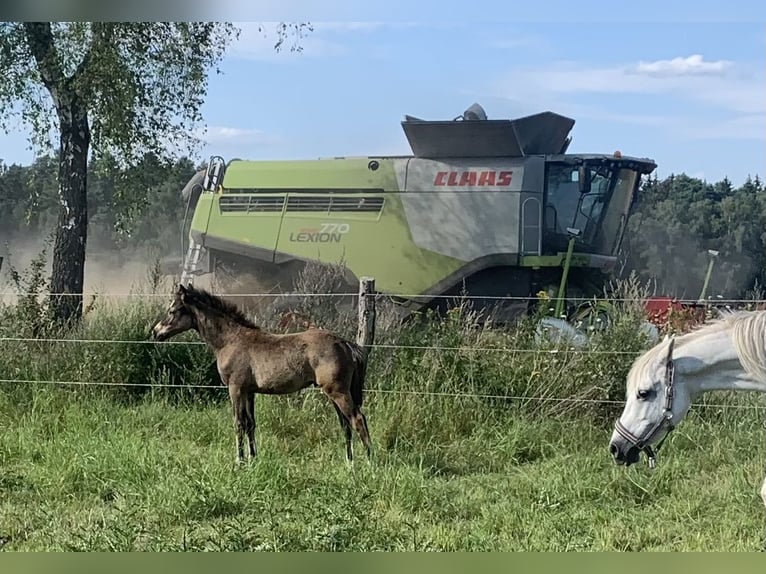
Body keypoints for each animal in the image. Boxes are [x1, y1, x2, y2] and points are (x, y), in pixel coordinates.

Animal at [150, 286, 372, 466]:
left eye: (172, 310)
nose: (155, 332)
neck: (230, 340)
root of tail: (345, 344)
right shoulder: (249, 391)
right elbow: (250, 424)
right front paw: (252, 458)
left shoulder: (235, 388)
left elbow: (238, 422)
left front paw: (239, 461)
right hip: (335, 392)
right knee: (345, 424)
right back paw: (349, 463)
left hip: (337, 391)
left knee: (357, 419)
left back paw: (370, 463)